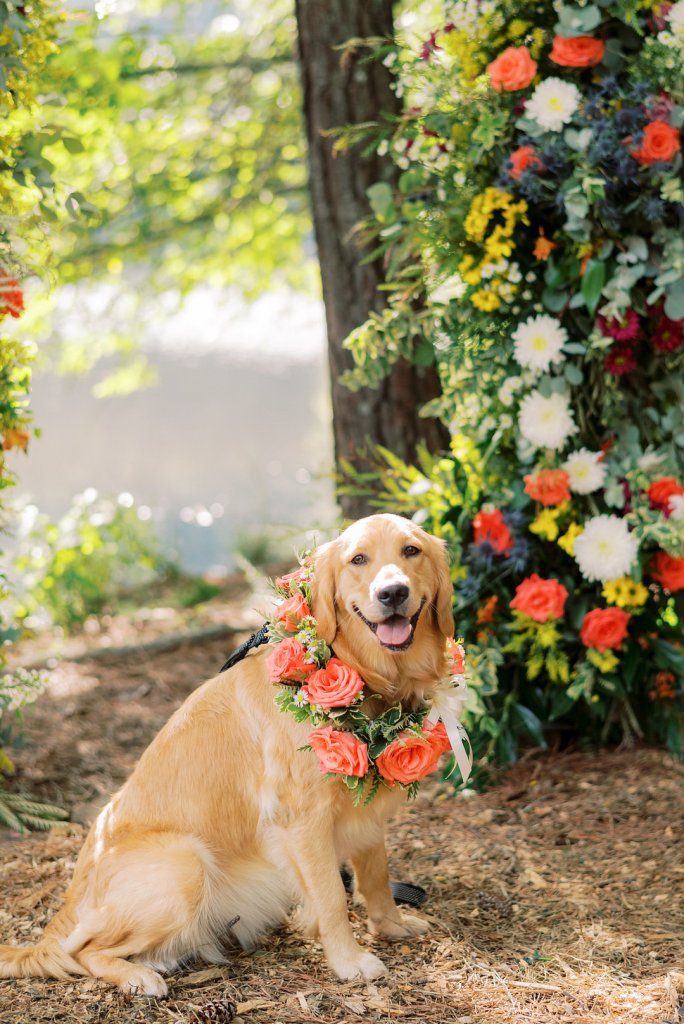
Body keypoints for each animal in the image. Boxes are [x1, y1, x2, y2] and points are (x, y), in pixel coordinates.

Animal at [0, 516, 454, 995]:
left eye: (411, 551)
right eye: (358, 559)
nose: (393, 593)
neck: (365, 673)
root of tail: (71, 896)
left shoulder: (364, 807)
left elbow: (376, 874)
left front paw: (391, 925)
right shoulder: (301, 818)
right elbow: (331, 894)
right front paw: (349, 962)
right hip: (184, 863)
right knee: (82, 950)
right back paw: (139, 976)